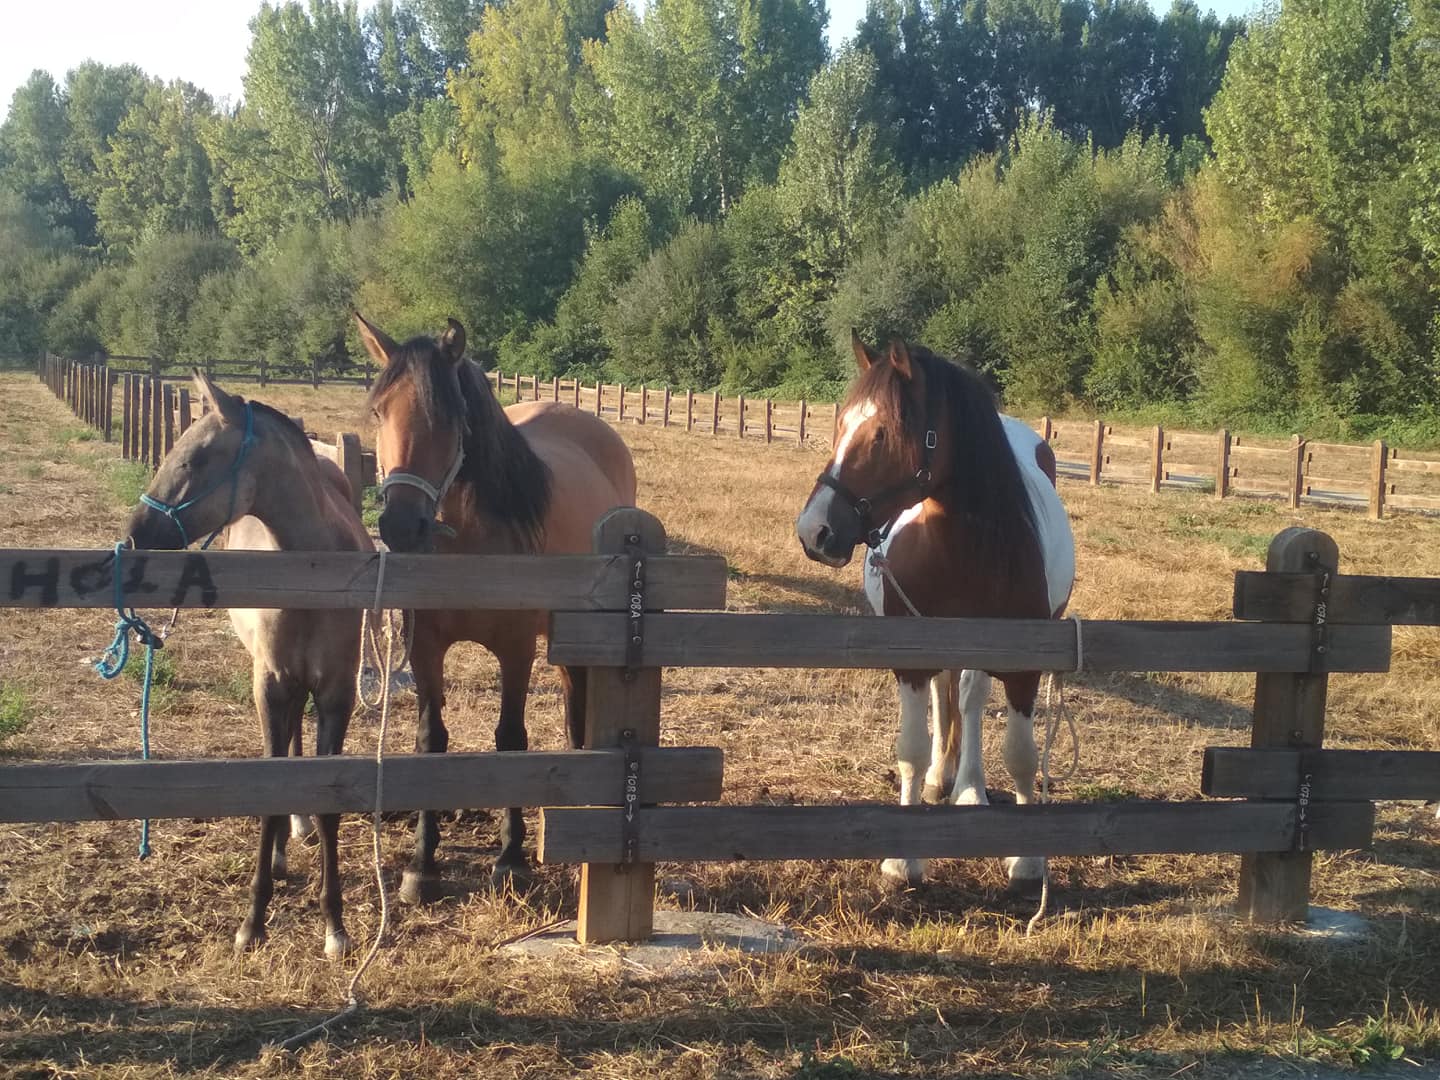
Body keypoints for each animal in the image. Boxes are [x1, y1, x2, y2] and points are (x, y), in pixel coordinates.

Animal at [352, 315, 636, 904]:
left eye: (449, 416)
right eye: (380, 411)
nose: (401, 525)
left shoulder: (515, 648)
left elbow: (510, 739)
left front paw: (511, 859)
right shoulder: (425, 648)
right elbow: (431, 740)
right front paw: (422, 864)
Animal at [794, 334, 1077, 892]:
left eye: (882, 433)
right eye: (839, 425)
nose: (814, 531)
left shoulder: (1023, 667)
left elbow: (1021, 756)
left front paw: (1027, 860)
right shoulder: (911, 659)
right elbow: (911, 747)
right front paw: (903, 860)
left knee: (968, 698)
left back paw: (968, 787)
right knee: (949, 699)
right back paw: (942, 780)